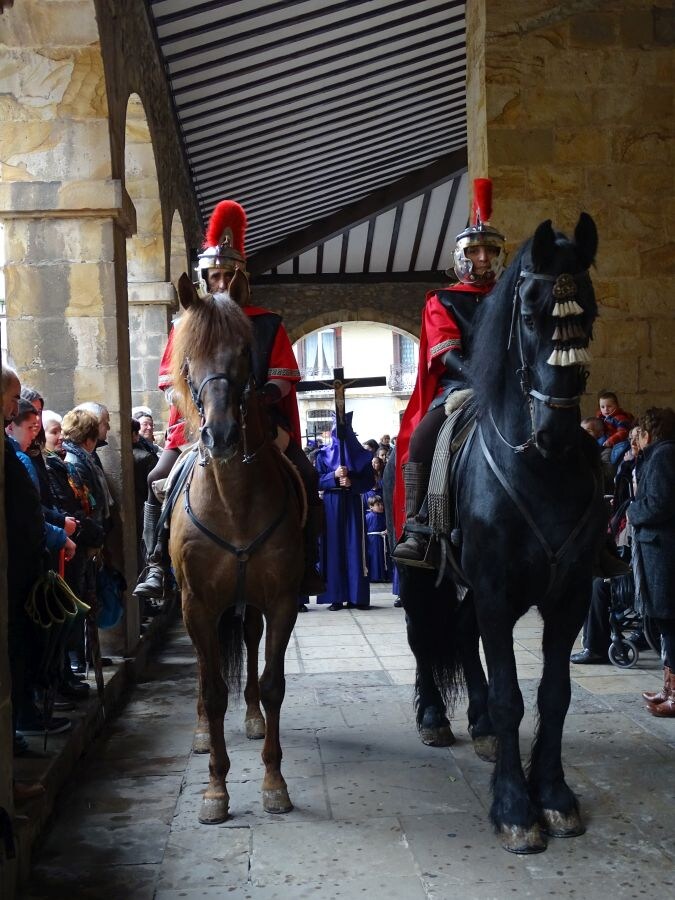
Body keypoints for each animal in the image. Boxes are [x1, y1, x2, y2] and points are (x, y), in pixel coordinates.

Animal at [398, 214, 604, 856]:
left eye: (590, 313)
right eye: (531, 317)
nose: (557, 432)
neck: (540, 470)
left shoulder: (569, 596)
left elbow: (554, 694)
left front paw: (555, 796)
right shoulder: (494, 590)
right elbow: (515, 696)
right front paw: (515, 807)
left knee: (462, 638)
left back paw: (481, 724)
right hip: (421, 577)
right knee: (423, 636)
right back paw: (435, 718)